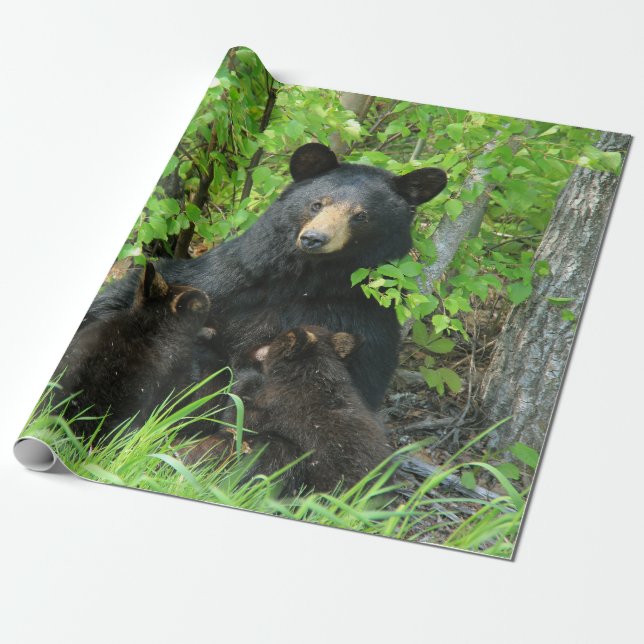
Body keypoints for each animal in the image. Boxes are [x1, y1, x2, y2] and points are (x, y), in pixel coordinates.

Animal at [86, 143, 447, 410]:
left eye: (361, 216)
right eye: (317, 204)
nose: (314, 239)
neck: (305, 279)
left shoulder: (361, 321)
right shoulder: (230, 277)